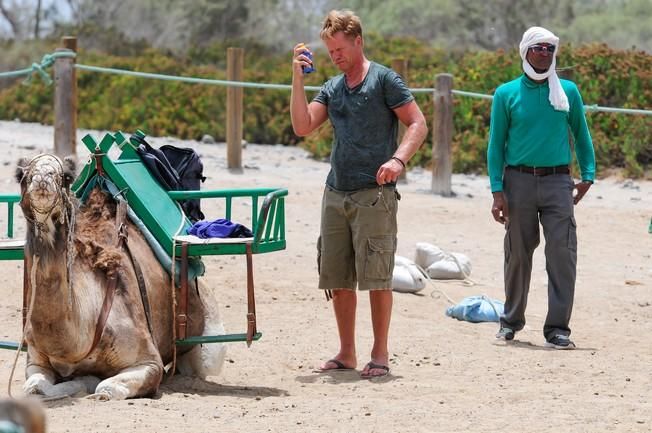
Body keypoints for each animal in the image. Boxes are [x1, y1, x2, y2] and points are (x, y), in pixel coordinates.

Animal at [14, 154, 227, 400]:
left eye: (66, 176)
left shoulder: (149, 361)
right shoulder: (35, 360)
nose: (42, 178)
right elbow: (34, 386)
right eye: (21, 175)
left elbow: (105, 389)